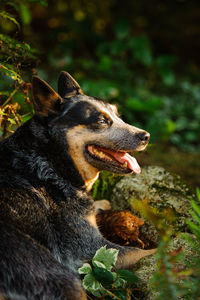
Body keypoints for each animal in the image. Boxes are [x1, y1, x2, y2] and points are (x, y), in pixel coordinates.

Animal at [0, 72, 155, 300]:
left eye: (118, 115)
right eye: (101, 121)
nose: (146, 136)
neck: (51, 163)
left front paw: (101, 204)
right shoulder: (89, 251)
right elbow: (147, 252)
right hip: (62, 279)